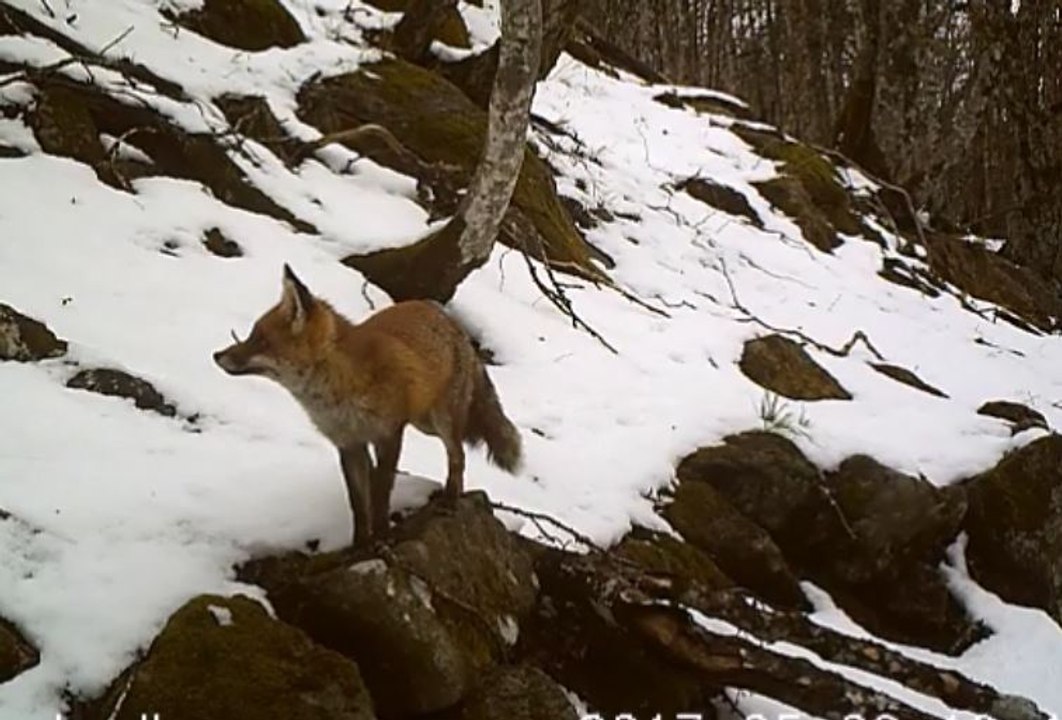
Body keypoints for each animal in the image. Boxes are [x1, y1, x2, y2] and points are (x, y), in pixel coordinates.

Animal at [213, 265, 522, 547]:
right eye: (252, 336)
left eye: (260, 340)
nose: (216, 355)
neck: (341, 389)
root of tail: (446, 319)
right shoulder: (349, 444)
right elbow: (359, 503)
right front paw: (360, 544)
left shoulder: (389, 434)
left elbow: (381, 492)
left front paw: (382, 537)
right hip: (423, 421)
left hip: (439, 420)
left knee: (457, 454)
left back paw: (451, 497)